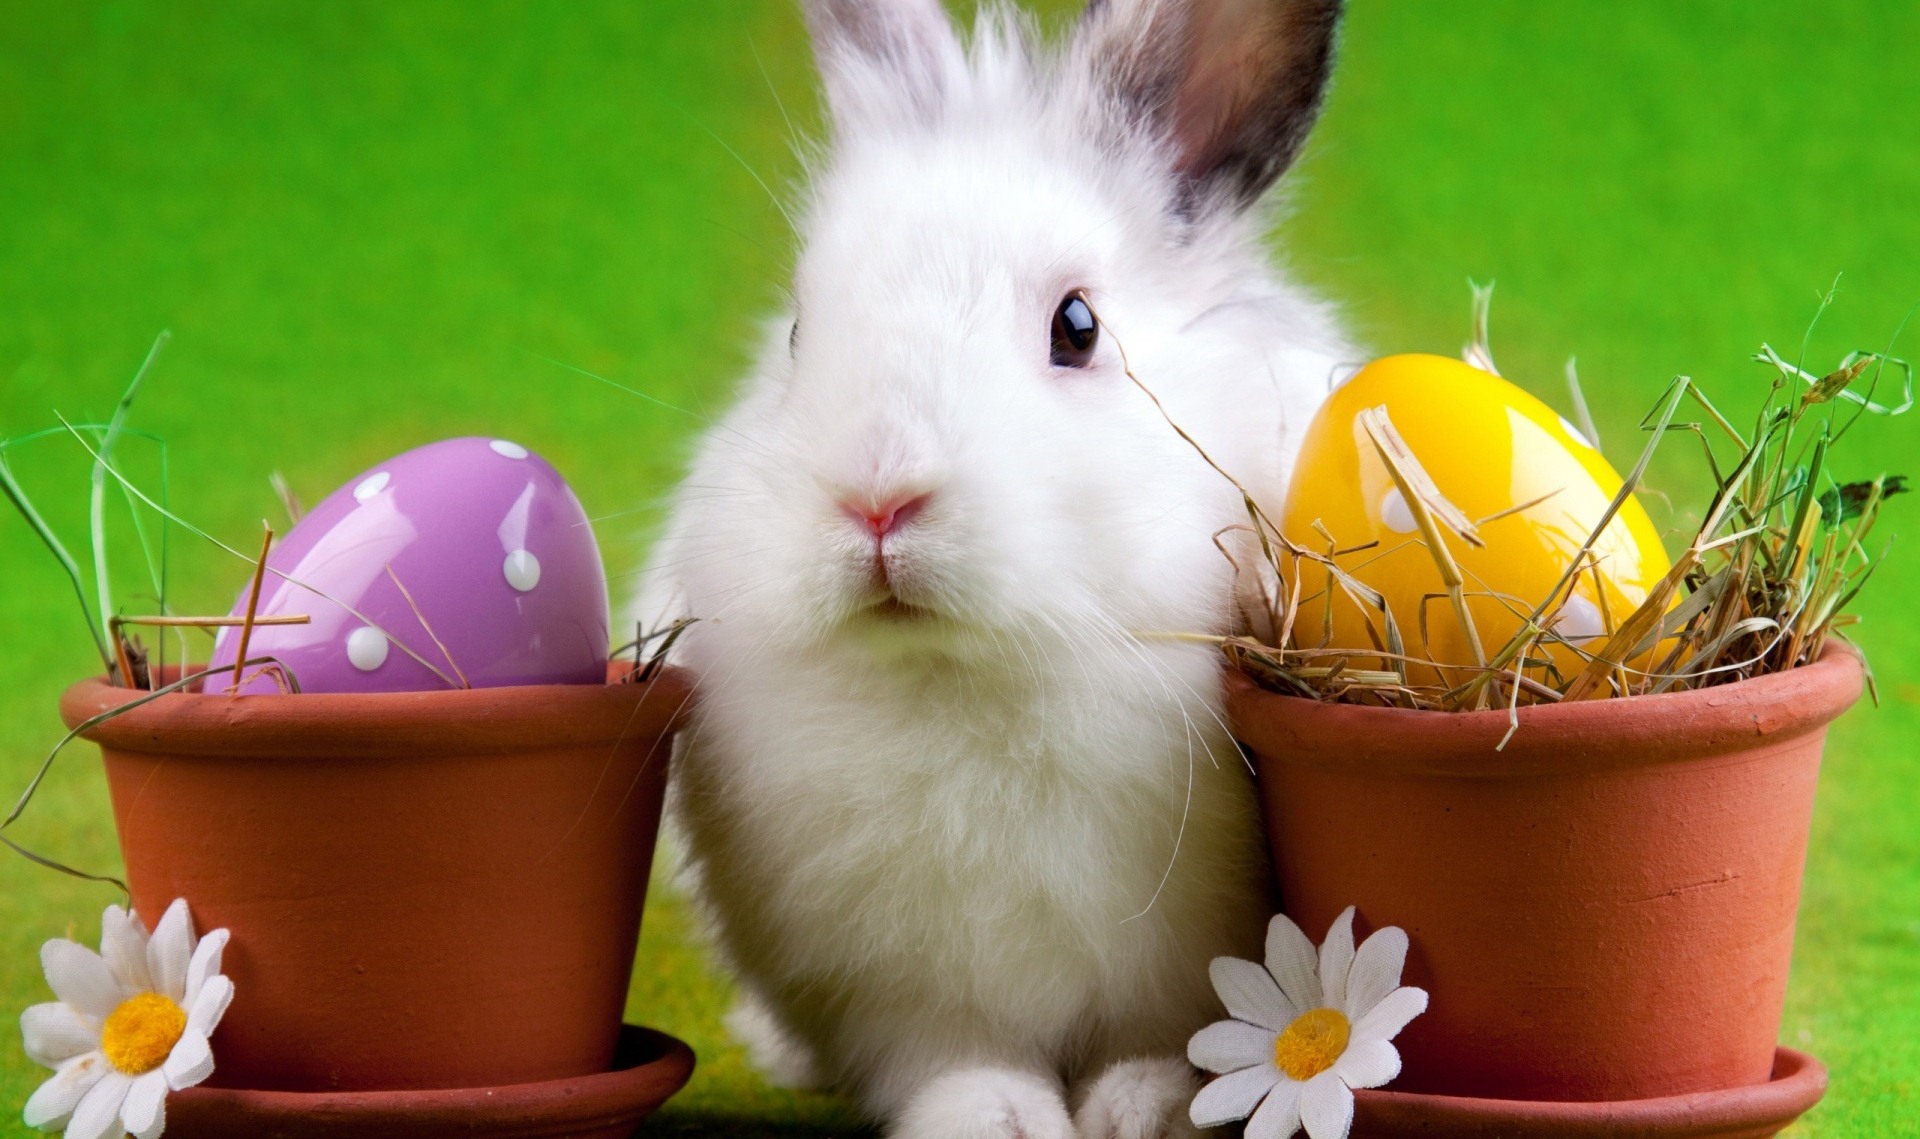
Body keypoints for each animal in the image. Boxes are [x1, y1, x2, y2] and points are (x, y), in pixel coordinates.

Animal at [637, 2, 1354, 1137]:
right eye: (797, 333)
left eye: (1078, 326)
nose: (877, 497)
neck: (973, 672)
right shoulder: (899, 988)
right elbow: (955, 1055)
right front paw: (994, 1117)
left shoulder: (1183, 960)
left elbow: (1165, 1034)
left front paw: (1147, 1105)